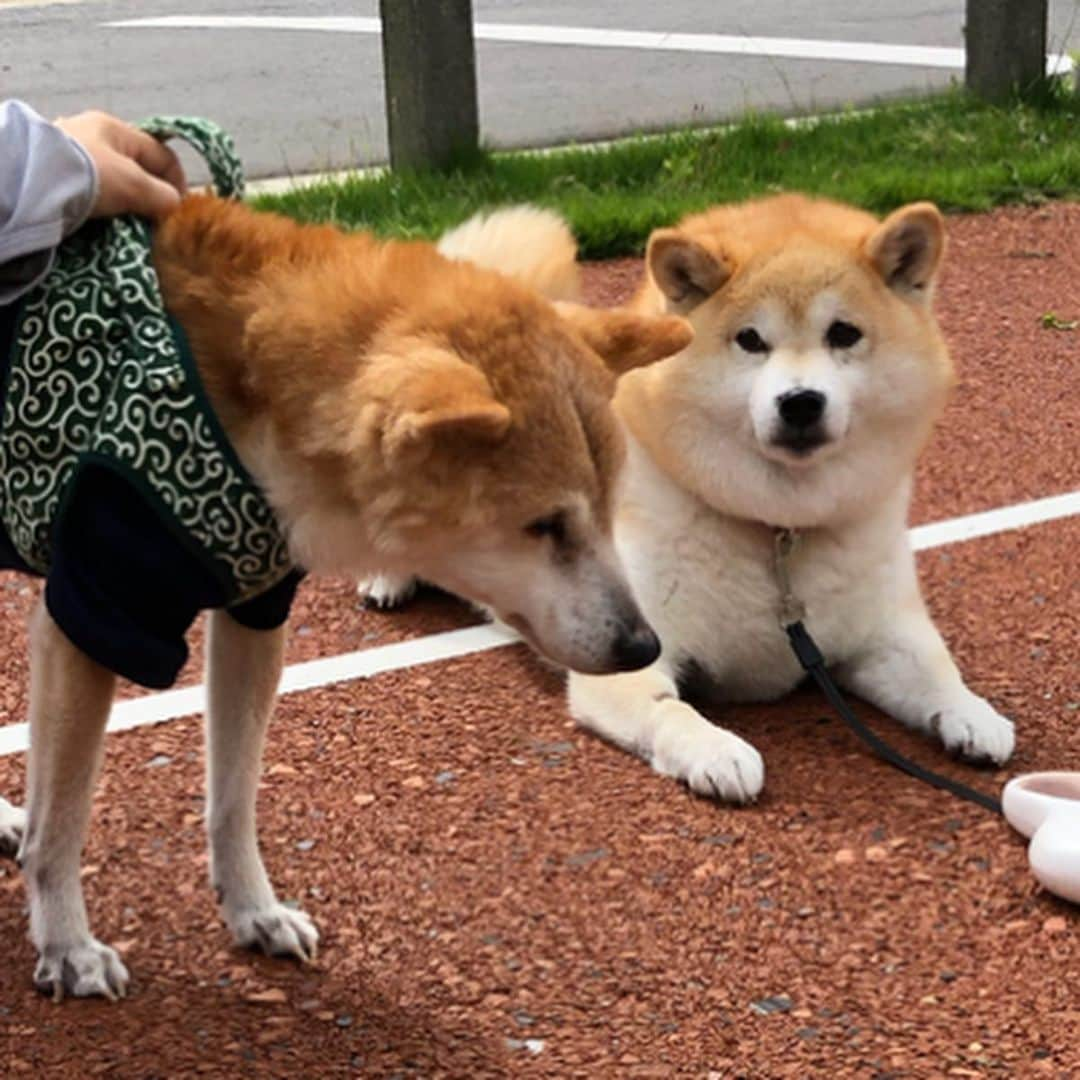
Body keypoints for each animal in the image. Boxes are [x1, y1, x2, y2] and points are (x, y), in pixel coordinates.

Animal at [0, 187, 691, 1002]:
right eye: (544, 525)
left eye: (613, 508)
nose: (643, 645)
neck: (251, 404)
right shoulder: (93, 616)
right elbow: (64, 818)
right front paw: (67, 944)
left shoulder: (255, 615)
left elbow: (233, 796)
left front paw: (252, 910)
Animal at [570, 192, 1015, 803]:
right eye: (750, 339)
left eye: (843, 333)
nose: (801, 401)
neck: (778, 528)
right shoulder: (629, 655)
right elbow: (670, 712)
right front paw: (717, 749)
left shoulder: (876, 632)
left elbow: (936, 671)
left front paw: (972, 713)